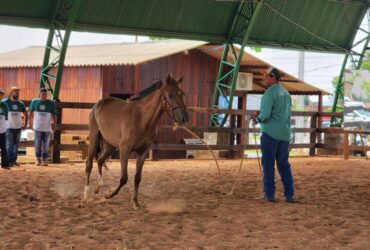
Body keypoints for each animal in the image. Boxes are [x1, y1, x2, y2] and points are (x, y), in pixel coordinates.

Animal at [85, 74, 189, 209]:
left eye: (182, 94)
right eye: (170, 95)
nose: (184, 118)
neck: (142, 118)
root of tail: (98, 104)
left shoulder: (143, 151)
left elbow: (137, 177)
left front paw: (135, 202)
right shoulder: (125, 149)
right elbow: (124, 178)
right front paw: (109, 194)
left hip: (110, 145)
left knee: (100, 160)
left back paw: (98, 188)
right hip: (94, 138)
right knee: (89, 164)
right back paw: (86, 194)